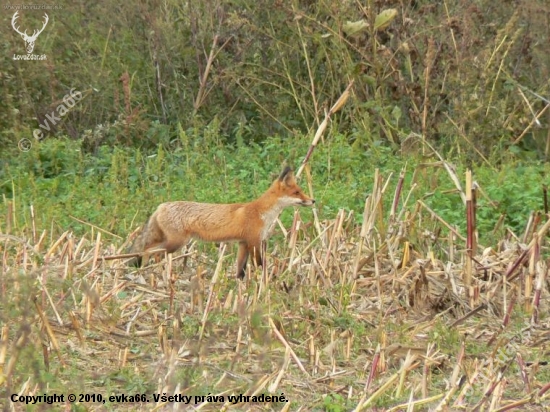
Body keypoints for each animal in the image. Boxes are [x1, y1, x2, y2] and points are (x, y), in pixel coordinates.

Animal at [129, 166, 314, 278]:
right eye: (297, 192)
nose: (313, 200)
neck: (261, 212)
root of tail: (161, 206)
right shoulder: (254, 242)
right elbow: (260, 265)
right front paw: (263, 281)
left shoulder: (243, 243)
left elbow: (240, 270)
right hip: (176, 243)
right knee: (149, 251)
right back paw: (153, 272)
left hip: (171, 242)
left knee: (149, 250)